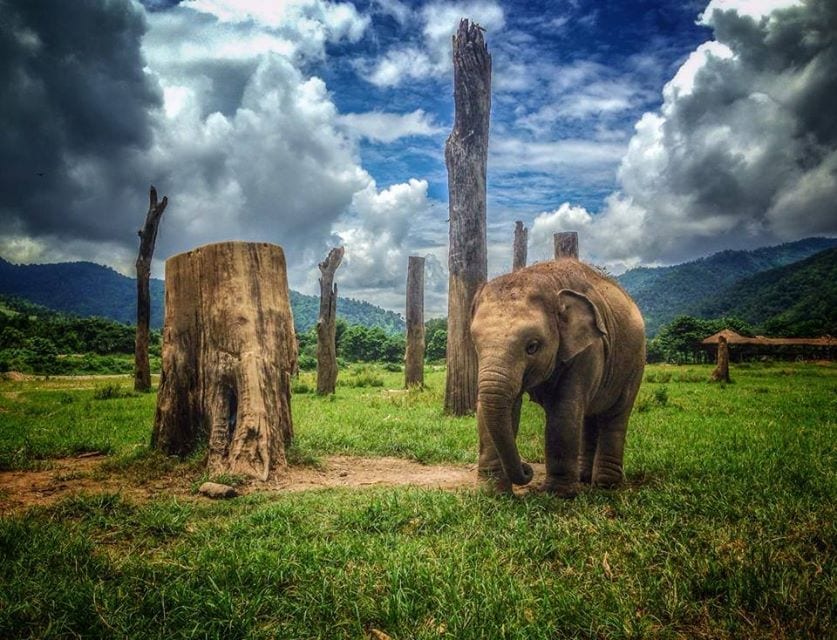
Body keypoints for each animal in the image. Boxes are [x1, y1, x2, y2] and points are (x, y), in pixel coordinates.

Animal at [470, 258, 646, 497]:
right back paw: (584, 477)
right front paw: (491, 493)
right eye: (475, 344)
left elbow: (564, 410)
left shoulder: (589, 349)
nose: (527, 469)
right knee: (589, 416)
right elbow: (499, 408)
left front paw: (557, 494)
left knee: (616, 415)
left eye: (532, 346)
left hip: (636, 361)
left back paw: (606, 486)